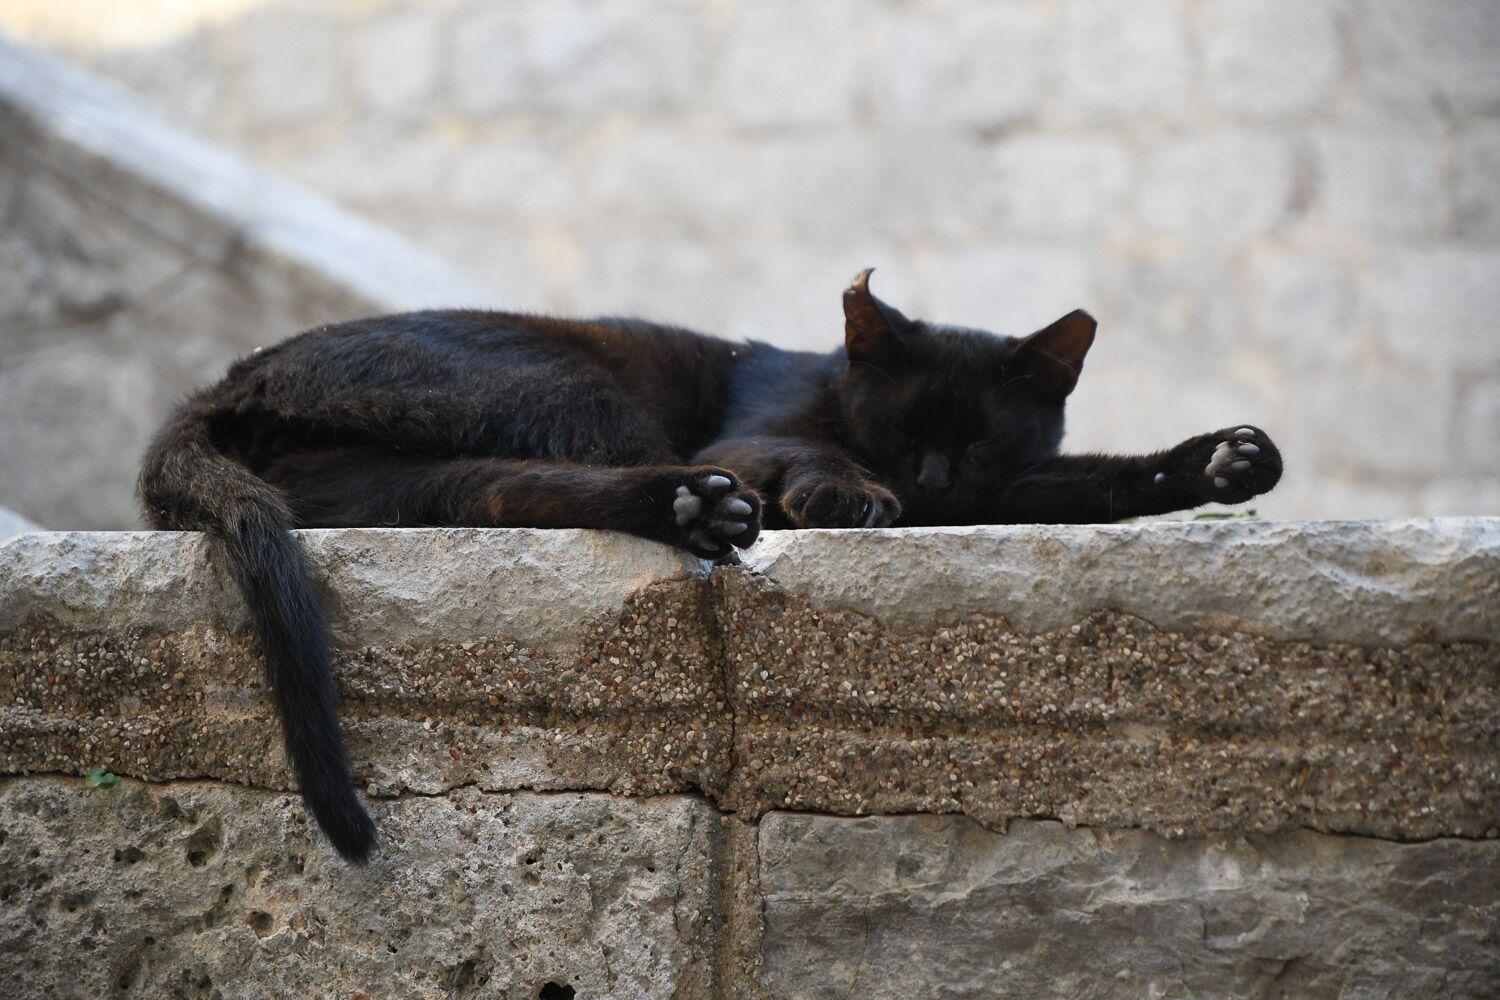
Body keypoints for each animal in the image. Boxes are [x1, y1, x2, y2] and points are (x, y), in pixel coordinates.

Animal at [138, 268, 1282, 862]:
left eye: (982, 439)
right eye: (900, 424)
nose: (932, 480)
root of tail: (222, 387)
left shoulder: (1011, 490)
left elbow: (1089, 480)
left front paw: (1220, 462)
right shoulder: (758, 429)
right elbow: (804, 454)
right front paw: (844, 495)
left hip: (399, 476)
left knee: (490, 492)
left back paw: (698, 511)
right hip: (572, 391)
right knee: (544, 478)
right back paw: (705, 507)